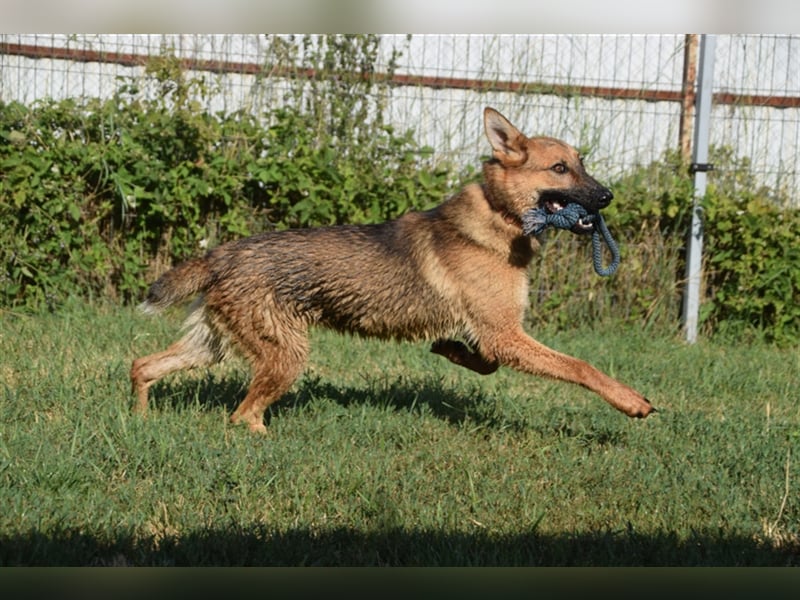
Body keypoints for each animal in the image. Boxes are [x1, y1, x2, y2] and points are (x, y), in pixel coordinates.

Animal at [133, 106, 656, 432]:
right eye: (560, 169)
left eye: (582, 164)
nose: (607, 197)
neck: (498, 215)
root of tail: (222, 254)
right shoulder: (505, 334)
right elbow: (582, 366)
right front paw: (630, 400)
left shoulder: (497, 336)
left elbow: (483, 362)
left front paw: (450, 351)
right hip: (285, 356)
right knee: (240, 416)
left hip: (213, 346)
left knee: (143, 366)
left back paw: (140, 417)